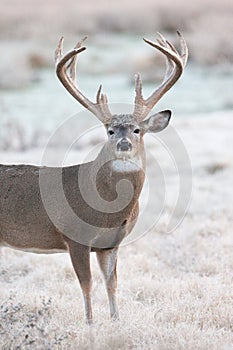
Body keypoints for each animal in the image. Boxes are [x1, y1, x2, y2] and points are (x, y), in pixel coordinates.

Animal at [0, 31, 187, 324]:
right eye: (110, 131)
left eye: (136, 130)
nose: (124, 143)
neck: (106, 210)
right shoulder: (75, 237)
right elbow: (86, 284)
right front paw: (89, 325)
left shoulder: (110, 245)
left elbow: (112, 283)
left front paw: (116, 321)